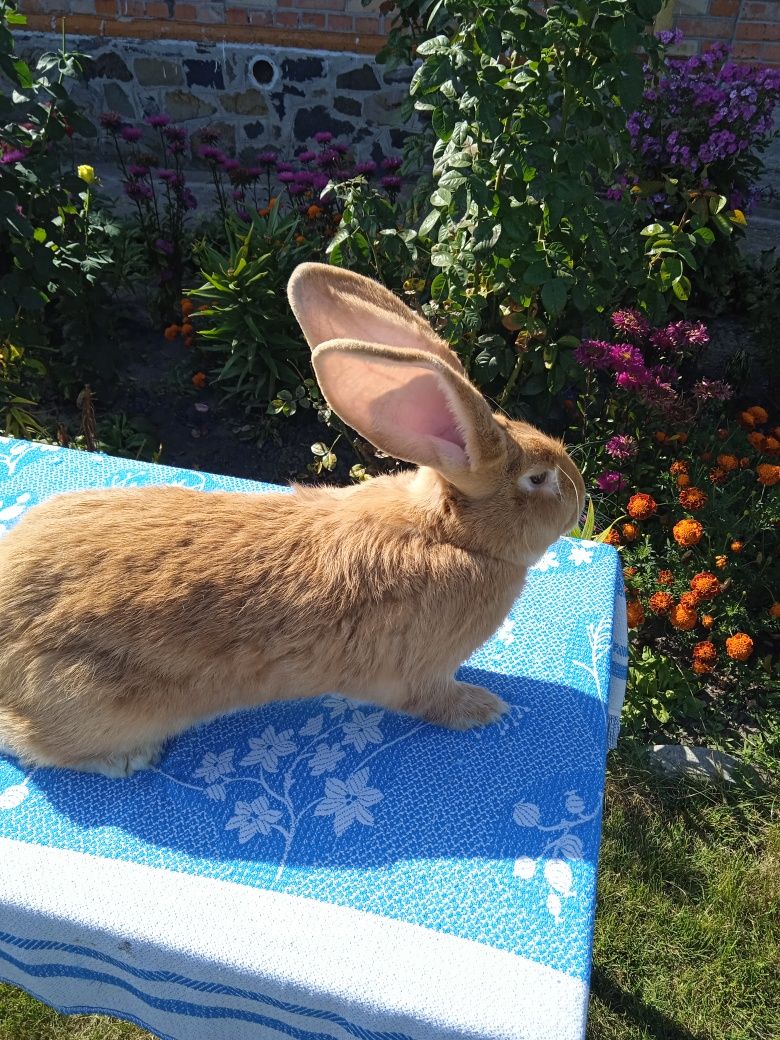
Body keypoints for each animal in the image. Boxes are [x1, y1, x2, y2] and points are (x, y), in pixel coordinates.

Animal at [0, 264, 586, 777]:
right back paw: (127, 759)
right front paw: (483, 707)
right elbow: (433, 700)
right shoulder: (419, 676)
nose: (580, 501)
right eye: (537, 479)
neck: (448, 533)